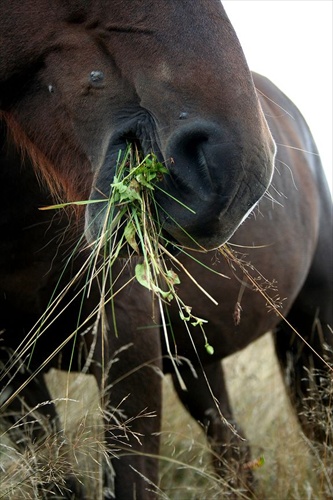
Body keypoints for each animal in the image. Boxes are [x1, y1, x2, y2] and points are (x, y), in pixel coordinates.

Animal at [0, 0, 330, 498]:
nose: (245, 171)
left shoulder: (128, 354)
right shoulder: (12, 379)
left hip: (311, 334)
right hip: (195, 359)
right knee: (233, 449)